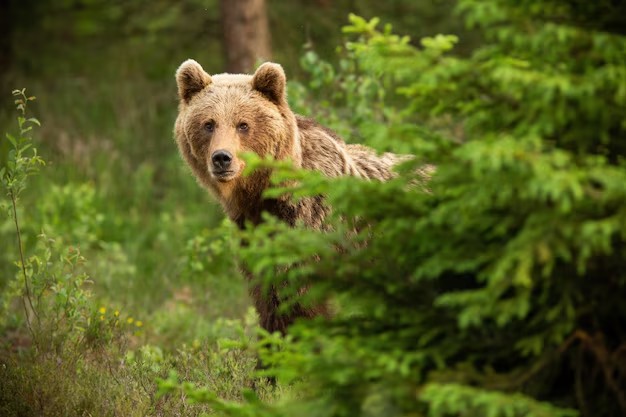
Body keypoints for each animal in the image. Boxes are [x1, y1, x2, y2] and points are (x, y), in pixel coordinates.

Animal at [173, 58, 402, 334]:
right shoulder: (253, 235)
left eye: (243, 124)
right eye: (208, 124)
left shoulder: (310, 226)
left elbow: (297, 300)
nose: (221, 158)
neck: (262, 195)